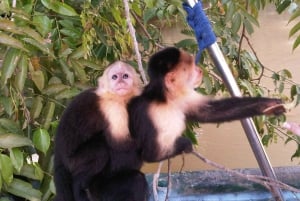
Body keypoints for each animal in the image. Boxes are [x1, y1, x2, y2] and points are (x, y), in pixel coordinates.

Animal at [54, 60, 148, 201]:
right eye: (115, 77)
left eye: (125, 76)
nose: (120, 82)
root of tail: (58, 155)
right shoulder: (113, 108)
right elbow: (120, 144)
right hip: (72, 162)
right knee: (101, 149)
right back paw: (79, 186)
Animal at [127, 46, 286, 163]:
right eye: (192, 68)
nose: (199, 70)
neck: (166, 99)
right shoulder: (149, 113)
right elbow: (152, 154)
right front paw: (185, 144)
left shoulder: (184, 96)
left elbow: (209, 112)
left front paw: (268, 105)